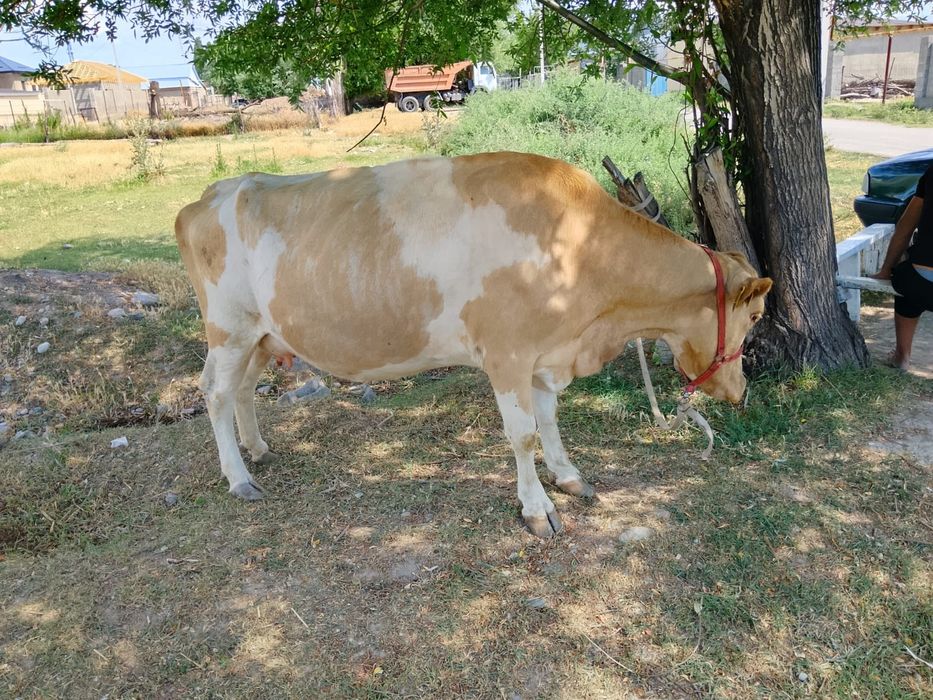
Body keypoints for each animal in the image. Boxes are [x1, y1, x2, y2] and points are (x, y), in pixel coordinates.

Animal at [175, 151, 772, 538]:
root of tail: (209, 195)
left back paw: (257, 448)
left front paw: (569, 476)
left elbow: (550, 422)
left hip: (262, 334)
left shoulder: (544, 355)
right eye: (756, 315)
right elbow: (523, 435)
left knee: (243, 390)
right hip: (228, 328)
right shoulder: (508, 355)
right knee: (215, 393)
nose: (740, 392)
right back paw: (240, 477)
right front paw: (536, 509)